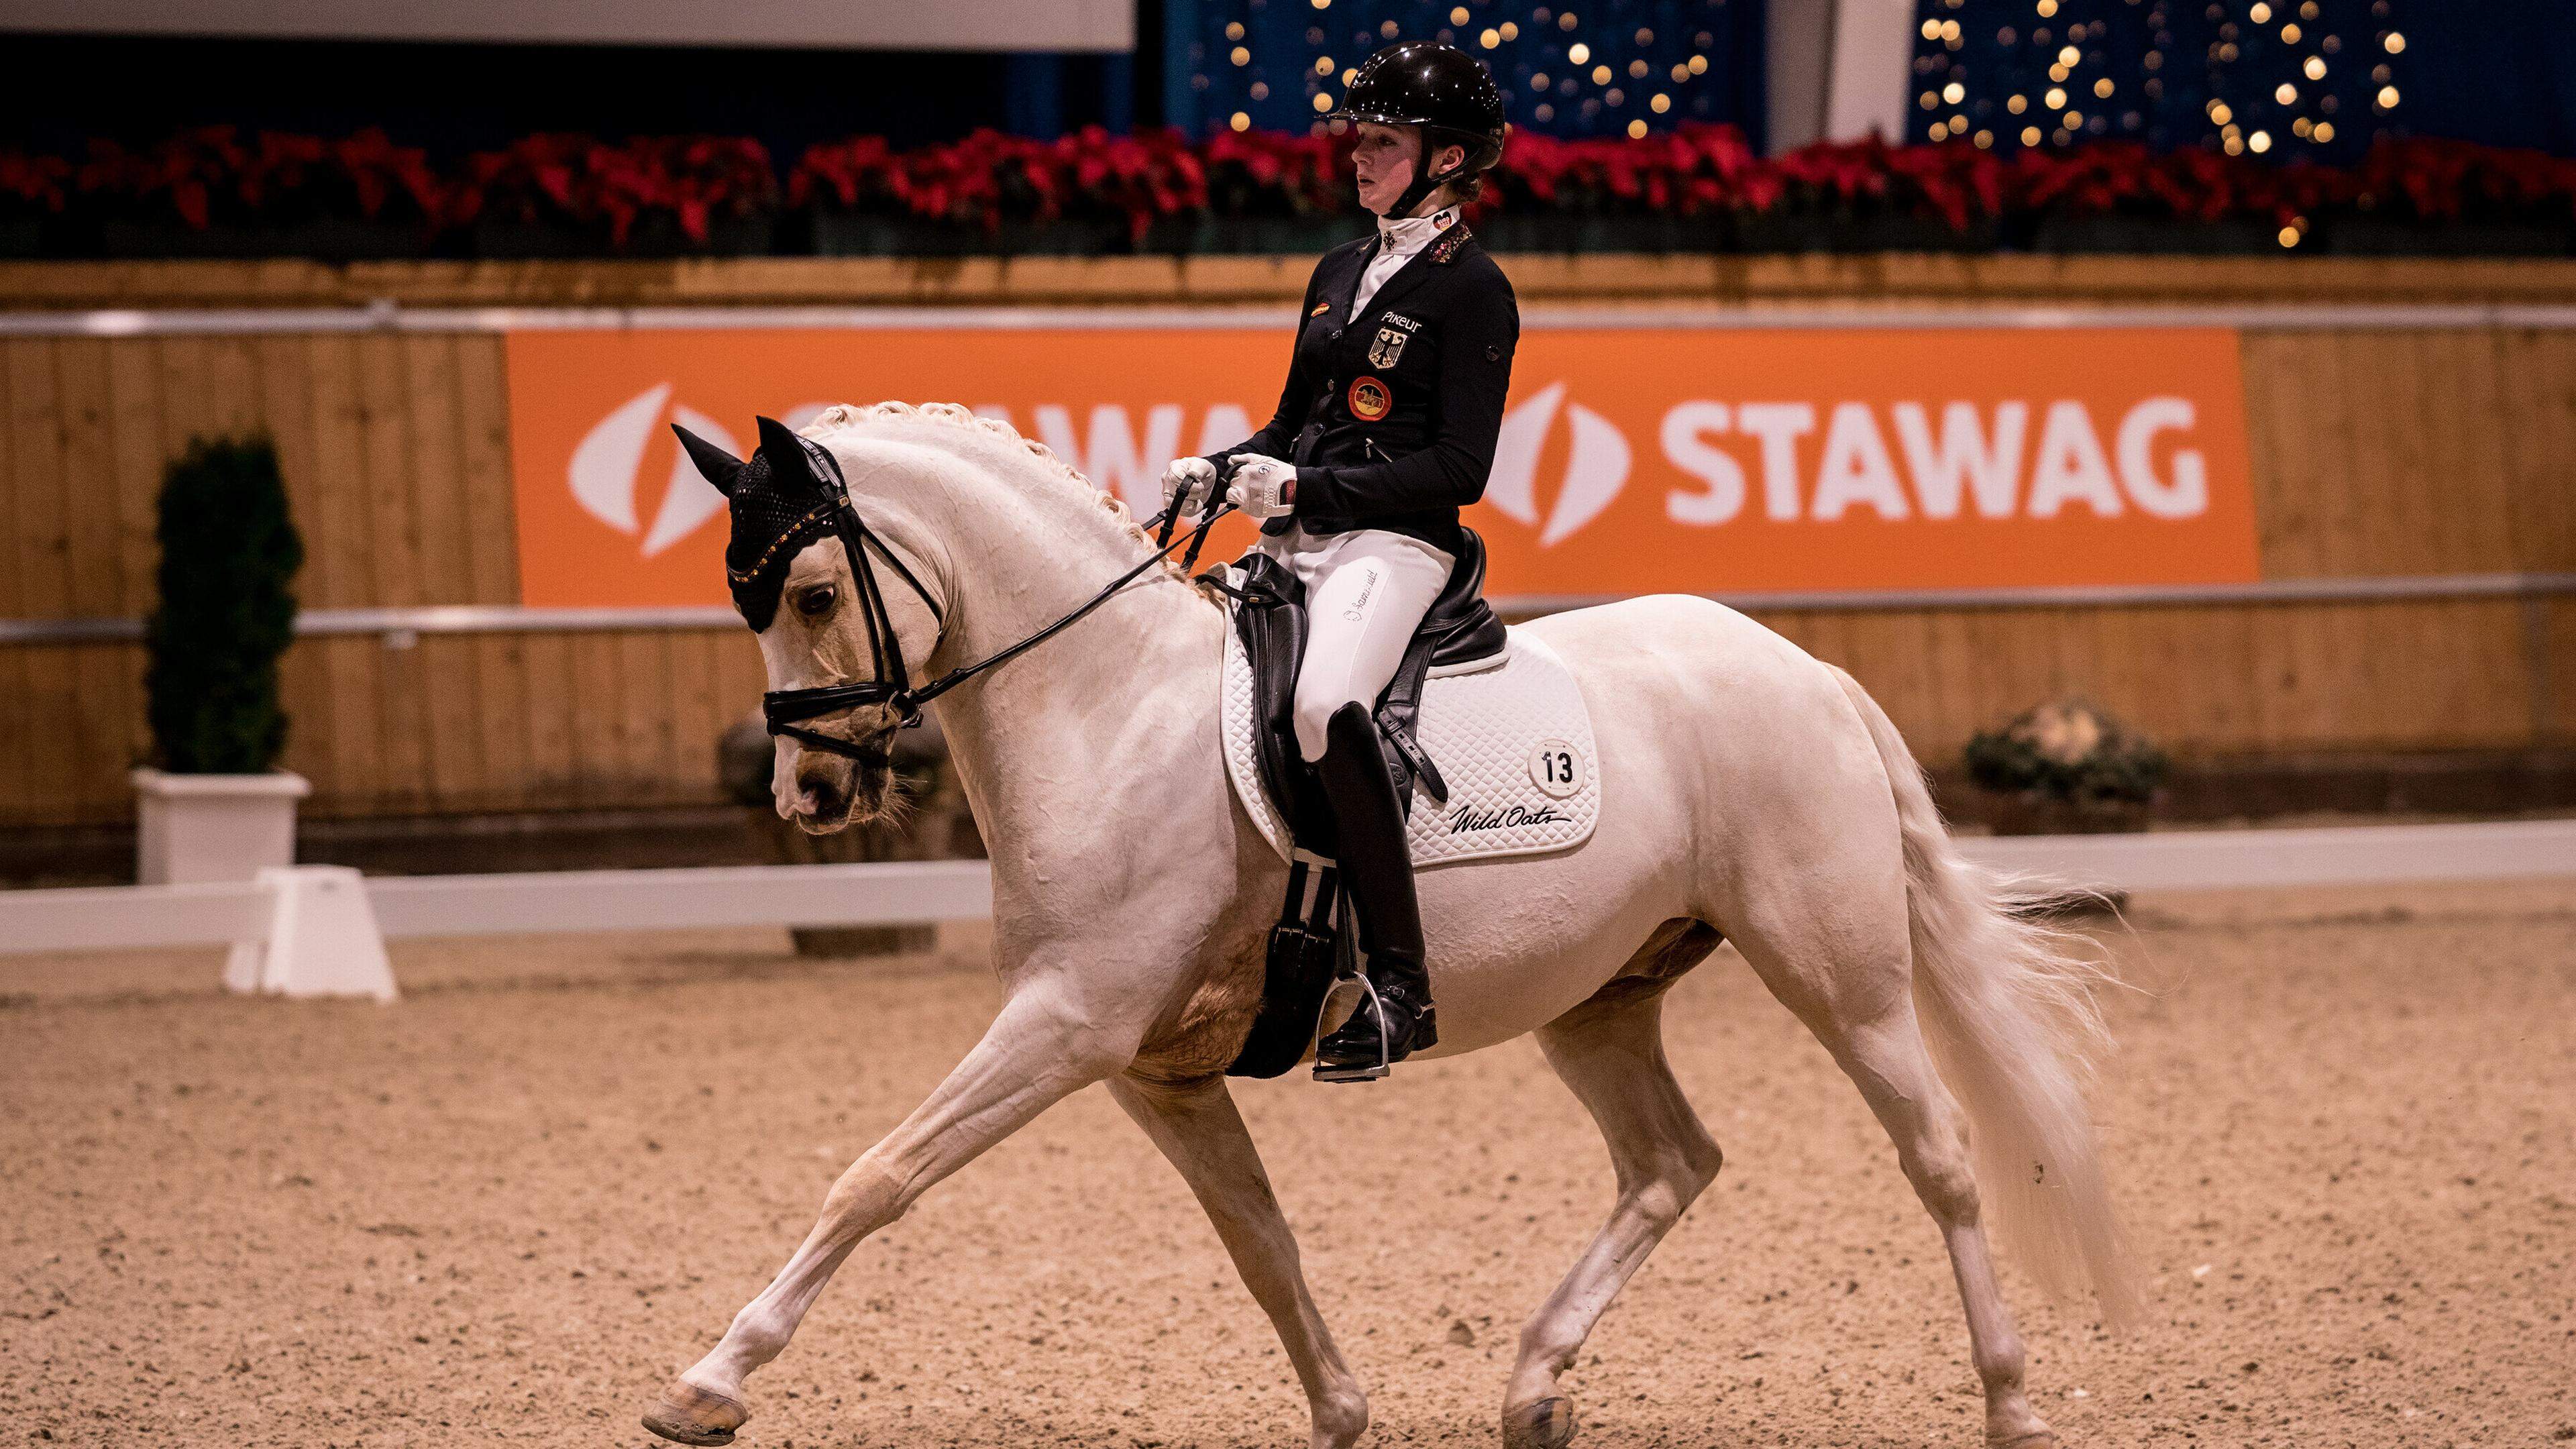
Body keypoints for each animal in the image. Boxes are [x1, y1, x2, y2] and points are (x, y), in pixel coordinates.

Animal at [644, 396, 2133, 1444]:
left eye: (815, 594)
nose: (810, 795)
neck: (1108, 706)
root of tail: (1810, 669)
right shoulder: (1153, 1071)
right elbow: (1260, 1241)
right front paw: (1342, 1412)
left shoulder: (1068, 1026)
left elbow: (877, 1176)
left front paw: (709, 1382)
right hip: (1597, 999)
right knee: (1672, 1161)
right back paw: (1534, 1387)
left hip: (1839, 975)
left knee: (1937, 1155)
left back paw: (2011, 1402)